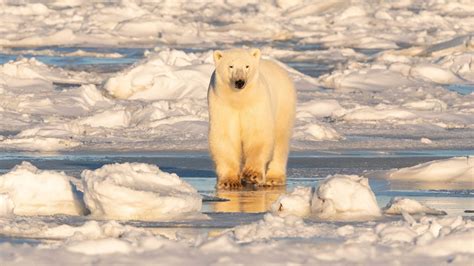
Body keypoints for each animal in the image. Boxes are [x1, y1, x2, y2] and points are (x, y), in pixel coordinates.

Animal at [208, 48, 296, 189]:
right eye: (230, 66)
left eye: (247, 66)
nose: (240, 82)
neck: (239, 100)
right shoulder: (221, 104)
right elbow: (225, 137)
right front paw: (229, 181)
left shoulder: (257, 102)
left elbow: (257, 134)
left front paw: (252, 175)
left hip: (284, 104)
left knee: (281, 138)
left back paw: (274, 178)